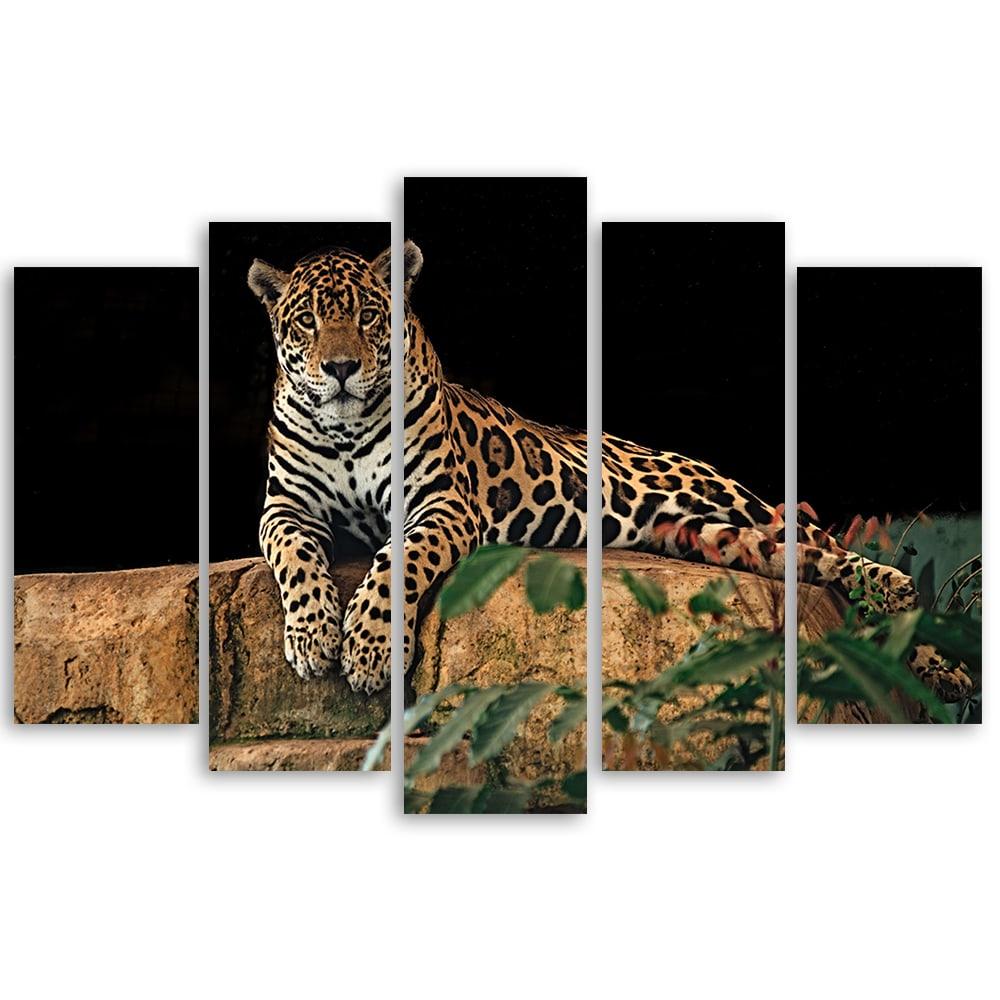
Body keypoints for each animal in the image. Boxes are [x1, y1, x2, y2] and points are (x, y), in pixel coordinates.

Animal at [248, 240, 972, 706]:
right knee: (810, 563)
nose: (341, 367)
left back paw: (929, 641)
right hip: (710, 537)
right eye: (307, 321)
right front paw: (312, 636)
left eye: (369, 316)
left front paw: (369, 650)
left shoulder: (441, 504)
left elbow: (397, 562)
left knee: (834, 547)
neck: (345, 430)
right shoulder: (285, 507)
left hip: (731, 499)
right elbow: (293, 557)